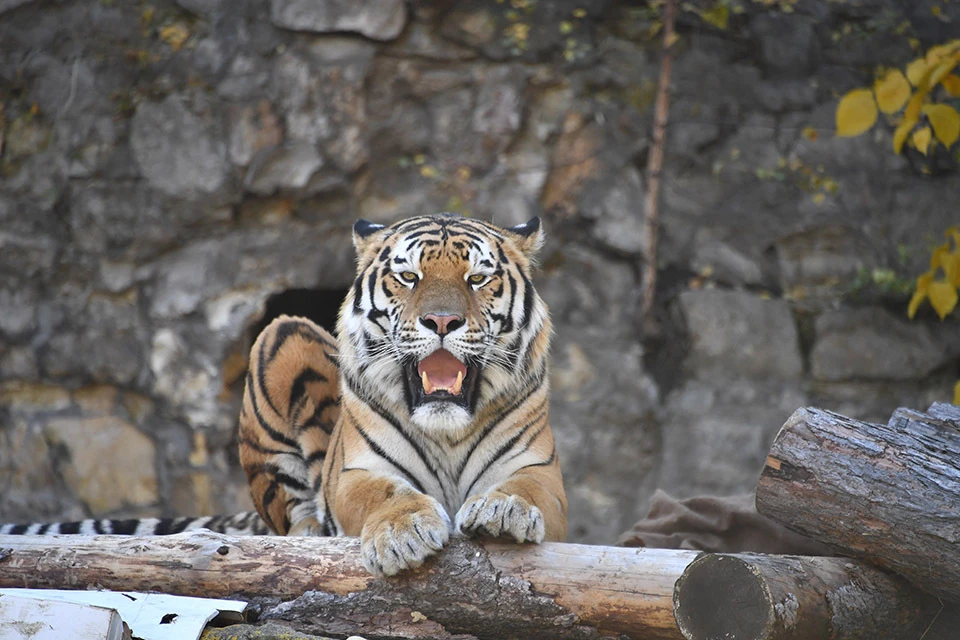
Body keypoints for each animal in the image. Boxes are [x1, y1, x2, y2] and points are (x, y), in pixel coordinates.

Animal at [0, 212, 568, 576]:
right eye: (408, 276)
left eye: (477, 279)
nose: (443, 321)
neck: (446, 429)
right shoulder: (357, 473)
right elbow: (387, 494)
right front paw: (404, 533)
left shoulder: (540, 472)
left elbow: (525, 489)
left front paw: (503, 513)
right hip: (280, 337)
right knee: (290, 518)